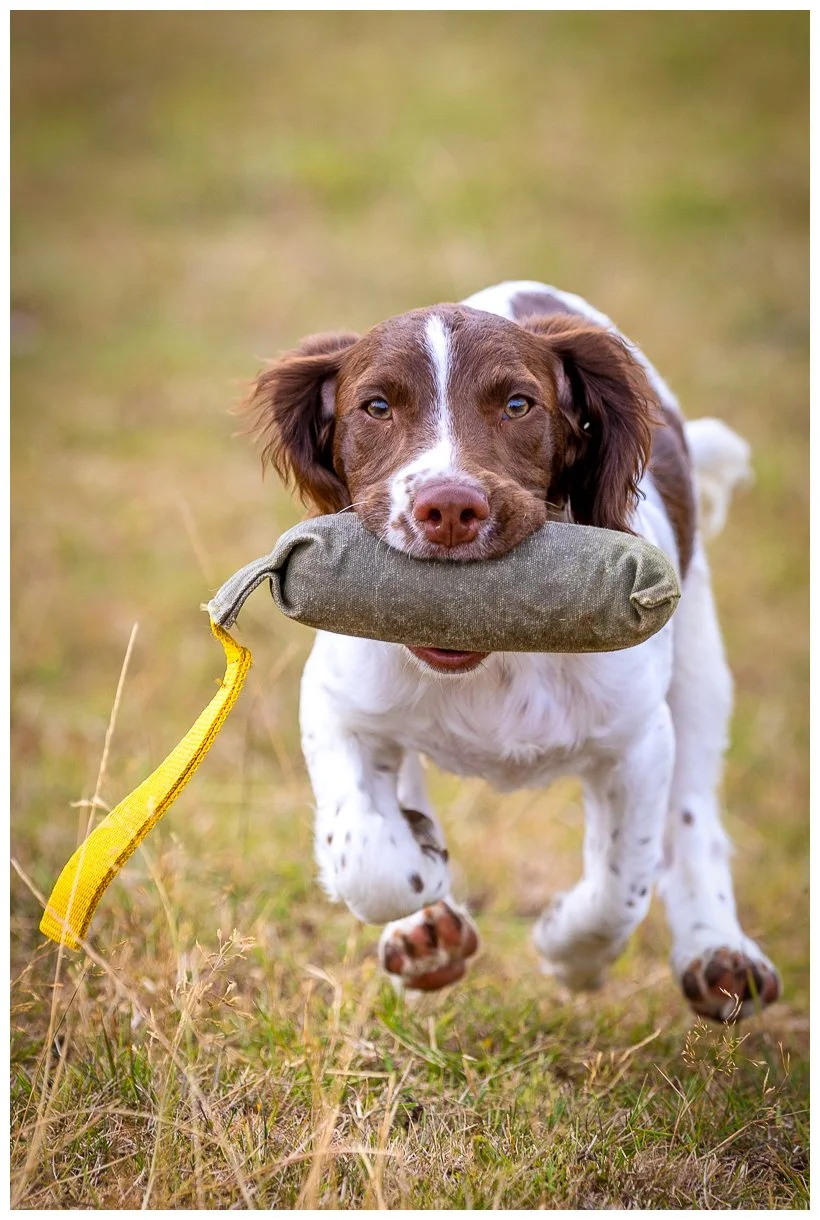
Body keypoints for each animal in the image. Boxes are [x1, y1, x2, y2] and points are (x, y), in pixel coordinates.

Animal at [244, 280, 780, 1022]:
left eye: (519, 405)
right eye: (376, 407)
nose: (448, 508)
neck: (493, 657)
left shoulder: (638, 740)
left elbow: (620, 889)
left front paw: (568, 952)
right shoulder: (336, 704)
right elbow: (368, 855)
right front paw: (423, 881)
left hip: (699, 670)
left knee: (694, 815)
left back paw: (718, 951)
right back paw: (425, 928)